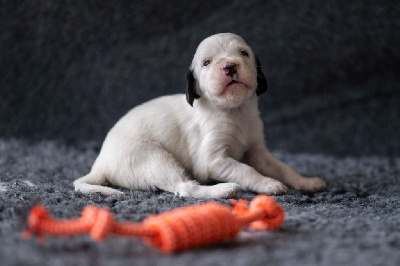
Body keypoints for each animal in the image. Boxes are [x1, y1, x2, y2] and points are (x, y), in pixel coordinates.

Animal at [73, 32, 326, 197]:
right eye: (206, 62)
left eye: (243, 53)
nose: (230, 67)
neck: (234, 110)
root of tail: (100, 163)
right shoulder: (213, 160)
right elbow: (246, 170)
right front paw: (268, 184)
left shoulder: (256, 150)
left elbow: (282, 167)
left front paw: (305, 181)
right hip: (154, 158)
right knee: (185, 188)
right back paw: (223, 190)